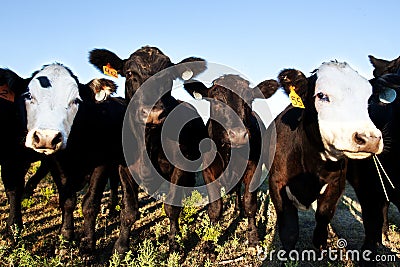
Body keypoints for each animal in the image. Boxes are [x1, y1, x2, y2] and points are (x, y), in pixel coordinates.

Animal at [0, 63, 125, 258]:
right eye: (29, 96)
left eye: (76, 100)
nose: (46, 137)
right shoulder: (56, 164)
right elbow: (67, 201)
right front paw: (65, 239)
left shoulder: (102, 163)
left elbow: (90, 203)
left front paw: (87, 244)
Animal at [266, 61, 384, 258]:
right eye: (322, 95)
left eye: (368, 99)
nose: (369, 139)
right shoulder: (277, 182)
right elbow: (289, 231)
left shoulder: (337, 183)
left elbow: (323, 217)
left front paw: (321, 247)